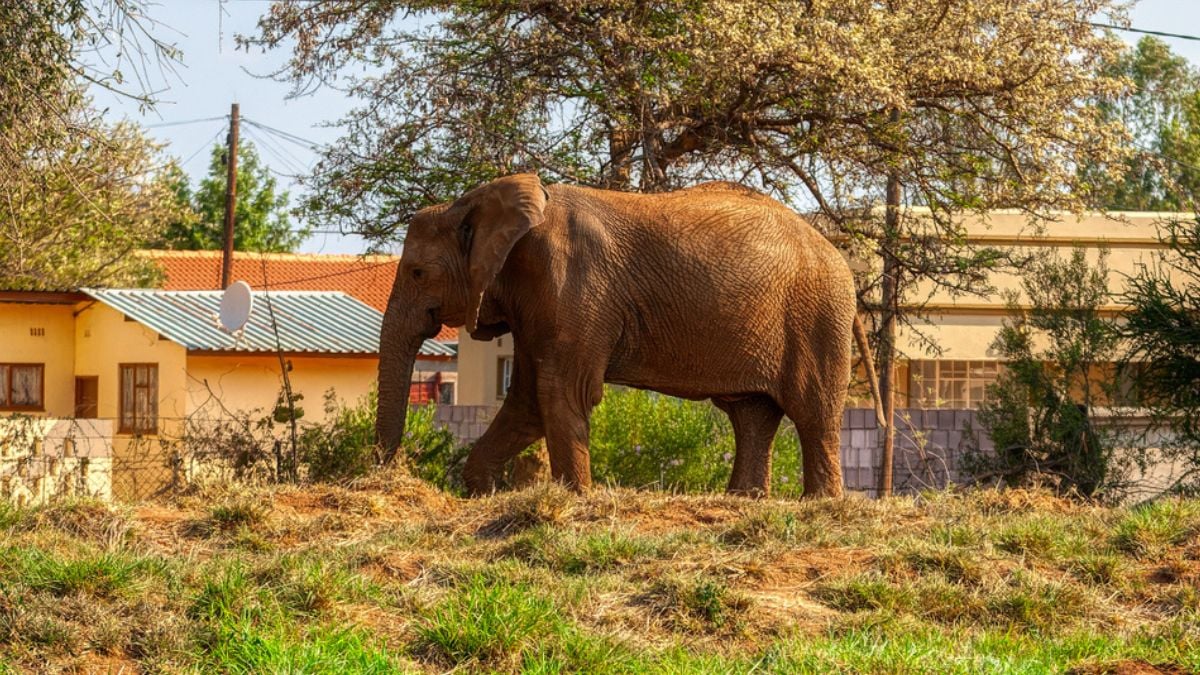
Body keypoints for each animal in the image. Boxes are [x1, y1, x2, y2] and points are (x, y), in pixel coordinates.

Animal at [376, 173, 881, 498]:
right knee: (752, 415)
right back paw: (743, 500)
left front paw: (574, 498)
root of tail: (837, 254)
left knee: (812, 412)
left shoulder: (573, 286)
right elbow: (526, 400)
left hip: (817, 316)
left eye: (417, 272)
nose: (386, 474)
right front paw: (483, 492)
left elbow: (561, 391)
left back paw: (819, 504)